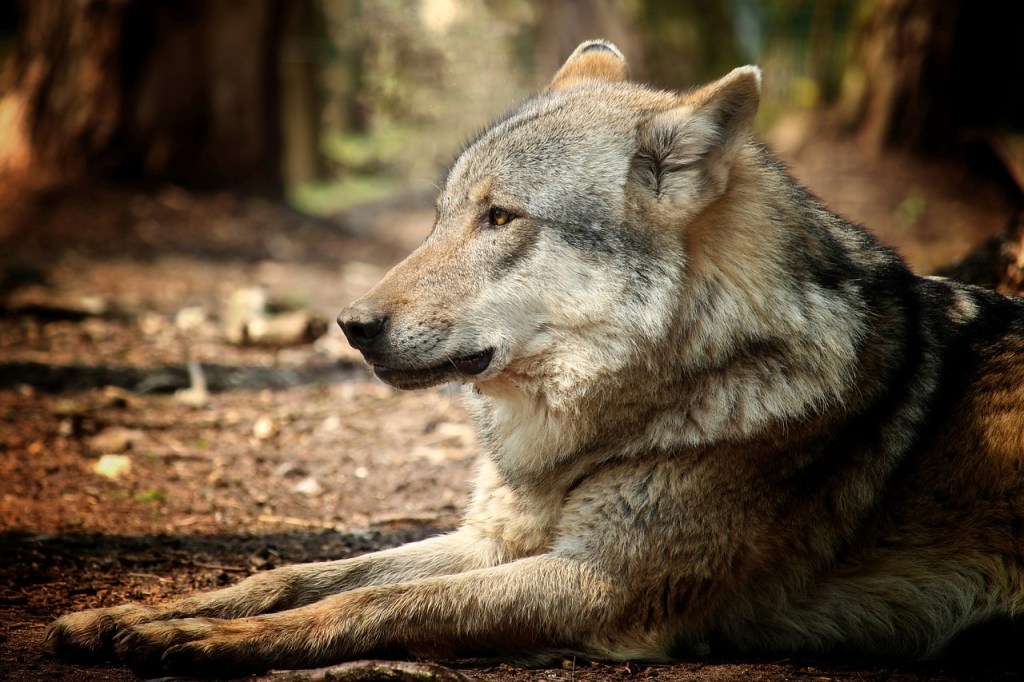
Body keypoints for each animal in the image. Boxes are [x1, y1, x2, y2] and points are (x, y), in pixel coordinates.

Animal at [47, 40, 1024, 678]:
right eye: (443, 216)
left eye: (501, 217)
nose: (350, 324)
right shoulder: (493, 539)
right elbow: (296, 575)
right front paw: (137, 614)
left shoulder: (604, 585)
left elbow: (371, 604)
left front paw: (205, 645)